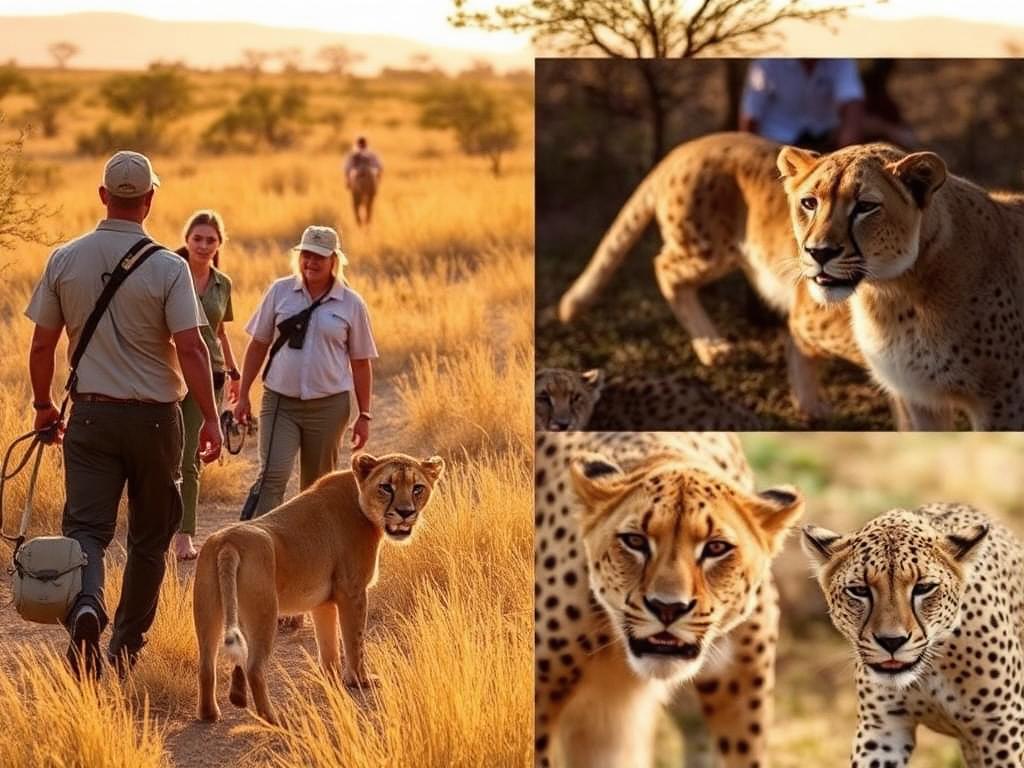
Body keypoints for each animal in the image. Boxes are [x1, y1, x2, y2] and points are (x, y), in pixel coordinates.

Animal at [193, 451, 445, 726]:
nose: (405, 512)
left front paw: (332, 679)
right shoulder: (352, 591)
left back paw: (209, 715)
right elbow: (354, 641)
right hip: (264, 612)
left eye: (417, 488)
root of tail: (228, 544)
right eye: (386, 487)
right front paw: (360, 681)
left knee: (206, 665)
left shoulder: (323, 601)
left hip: (208, 611)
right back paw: (273, 719)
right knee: (254, 667)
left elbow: (329, 646)